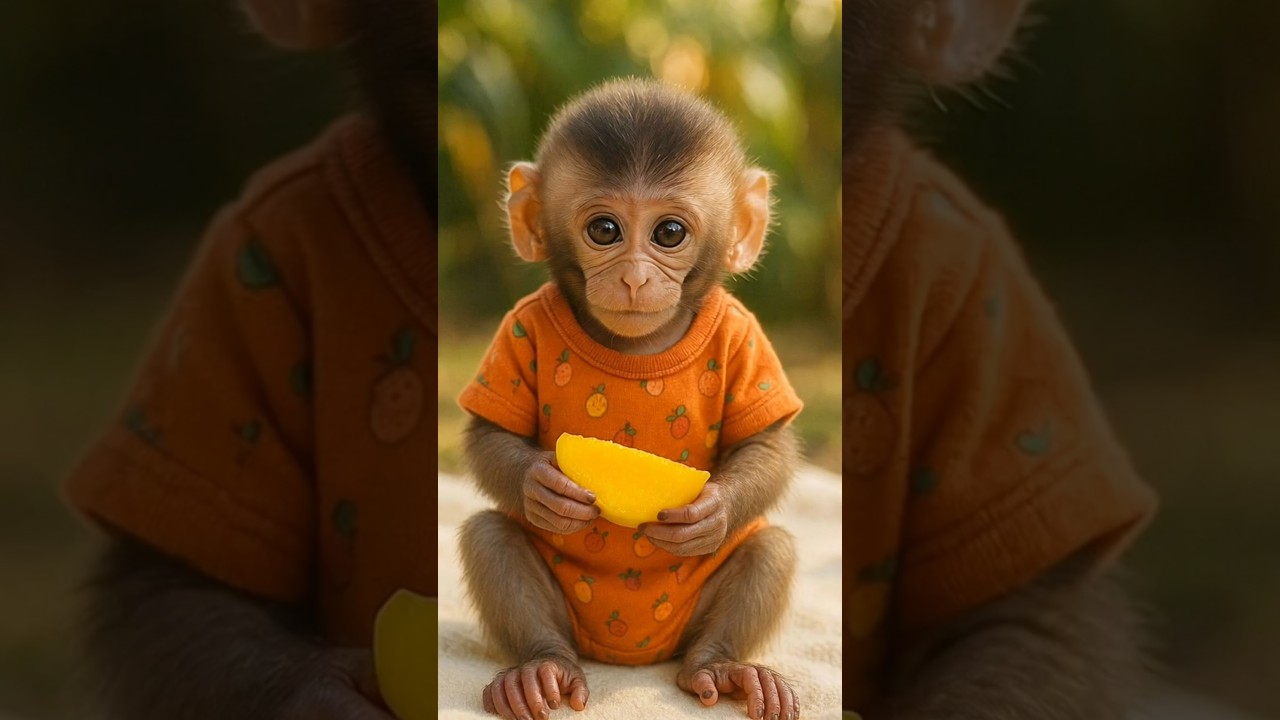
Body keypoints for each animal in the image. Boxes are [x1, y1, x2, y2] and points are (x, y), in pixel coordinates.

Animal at [454, 78, 807, 720]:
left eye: (669, 233)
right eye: (605, 230)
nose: (636, 278)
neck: (640, 348)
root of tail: (631, 660)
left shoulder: (747, 335)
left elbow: (766, 444)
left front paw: (712, 512)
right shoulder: (516, 326)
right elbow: (491, 436)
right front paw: (541, 488)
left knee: (770, 549)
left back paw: (723, 668)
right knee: (491, 540)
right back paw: (541, 668)